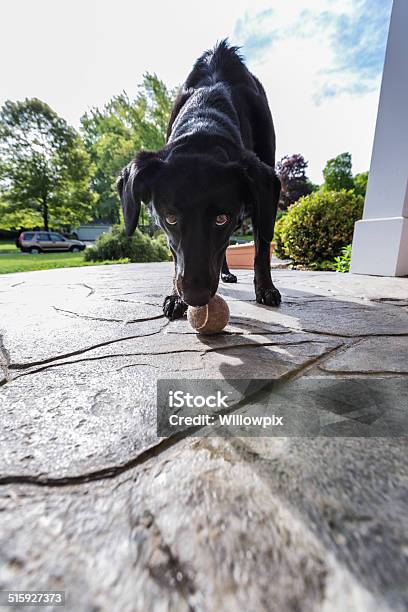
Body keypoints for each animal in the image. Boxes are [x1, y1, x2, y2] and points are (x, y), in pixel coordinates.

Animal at [117, 40, 280, 320]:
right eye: (170, 218)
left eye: (221, 219)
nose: (195, 297)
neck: (206, 117)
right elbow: (175, 256)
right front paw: (174, 296)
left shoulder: (263, 194)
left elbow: (262, 248)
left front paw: (266, 288)